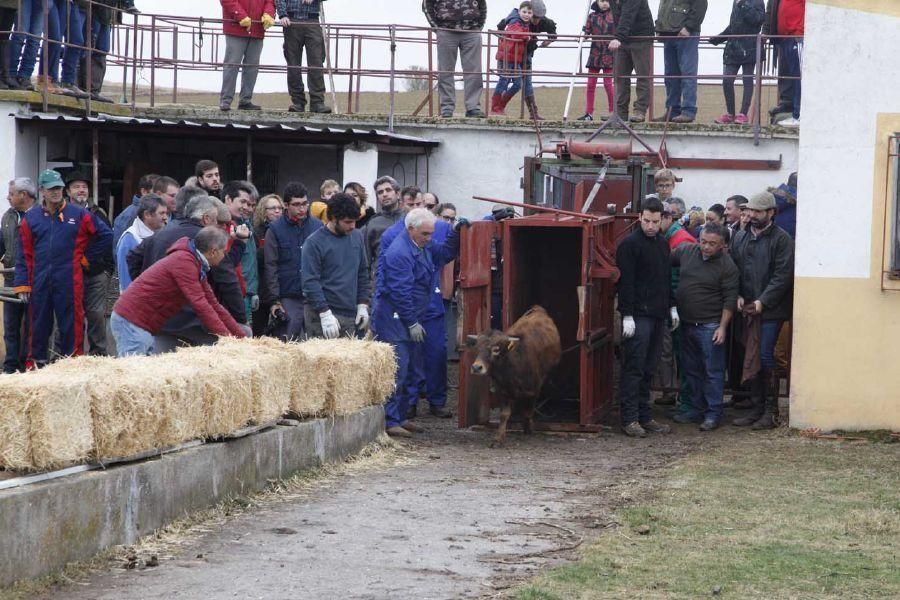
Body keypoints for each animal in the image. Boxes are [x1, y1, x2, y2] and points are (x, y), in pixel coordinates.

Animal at [468, 308, 560, 442]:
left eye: (496, 349)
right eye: (477, 348)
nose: (476, 367)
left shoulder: (534, 390)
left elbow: (528, 412)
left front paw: (528, 430)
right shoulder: (502, 390)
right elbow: (504, 414)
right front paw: (499, 437)